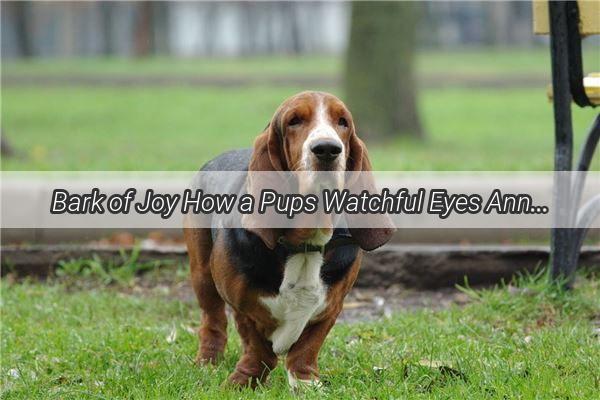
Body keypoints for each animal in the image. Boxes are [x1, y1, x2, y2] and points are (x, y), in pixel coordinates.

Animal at [185, 90, 396, 388]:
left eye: (342, 122)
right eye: (294, 121)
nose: (327, 149)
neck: (304, 245)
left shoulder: (331, 308)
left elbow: (306, 348)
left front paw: (305, 384)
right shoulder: (243, 306)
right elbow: (256, 346)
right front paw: (243, 381)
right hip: (202, 275)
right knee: (212, 320)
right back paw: (207, 361)